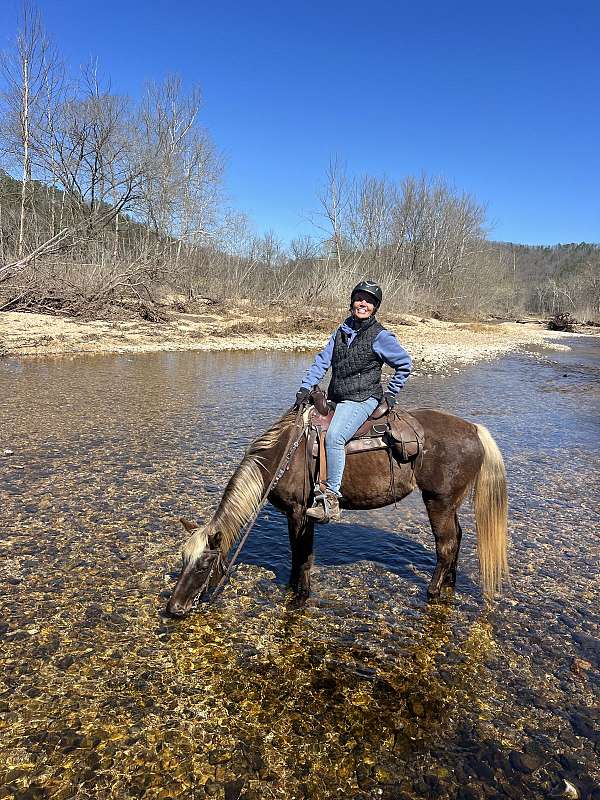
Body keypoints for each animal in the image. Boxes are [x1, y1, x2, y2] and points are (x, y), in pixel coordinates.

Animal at [166, 404, 508, 617]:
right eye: (183, 560)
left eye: (202, 566)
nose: (174, 609)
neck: (283, 456)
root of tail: (474, 429)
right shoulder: (299, 515)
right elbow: (299, 555)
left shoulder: (299, 513)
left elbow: (301, 555)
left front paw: (299, 596)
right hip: (450, 503)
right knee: (457, 538)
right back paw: (449, 583)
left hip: (438, 501)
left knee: (446, 544)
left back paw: (433, 591)